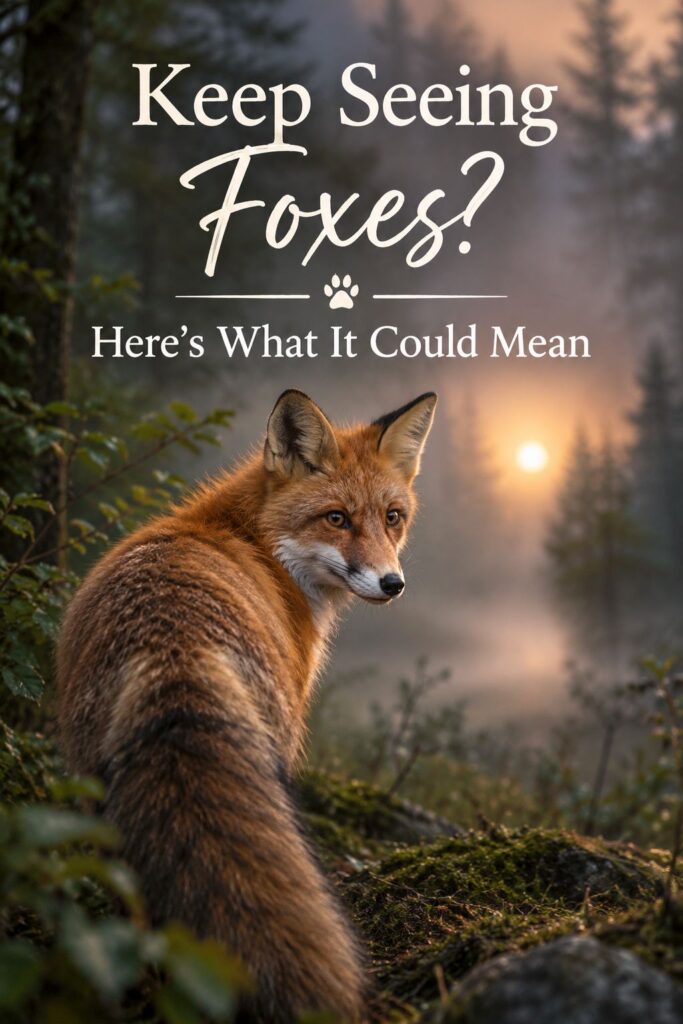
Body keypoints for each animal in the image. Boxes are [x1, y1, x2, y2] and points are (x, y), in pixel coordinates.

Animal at [57, 388, 437, 1022]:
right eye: (336, 518)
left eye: (392, 517)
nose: (393, 584)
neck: (256, 543)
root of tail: (172, 647)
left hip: (98, 799)